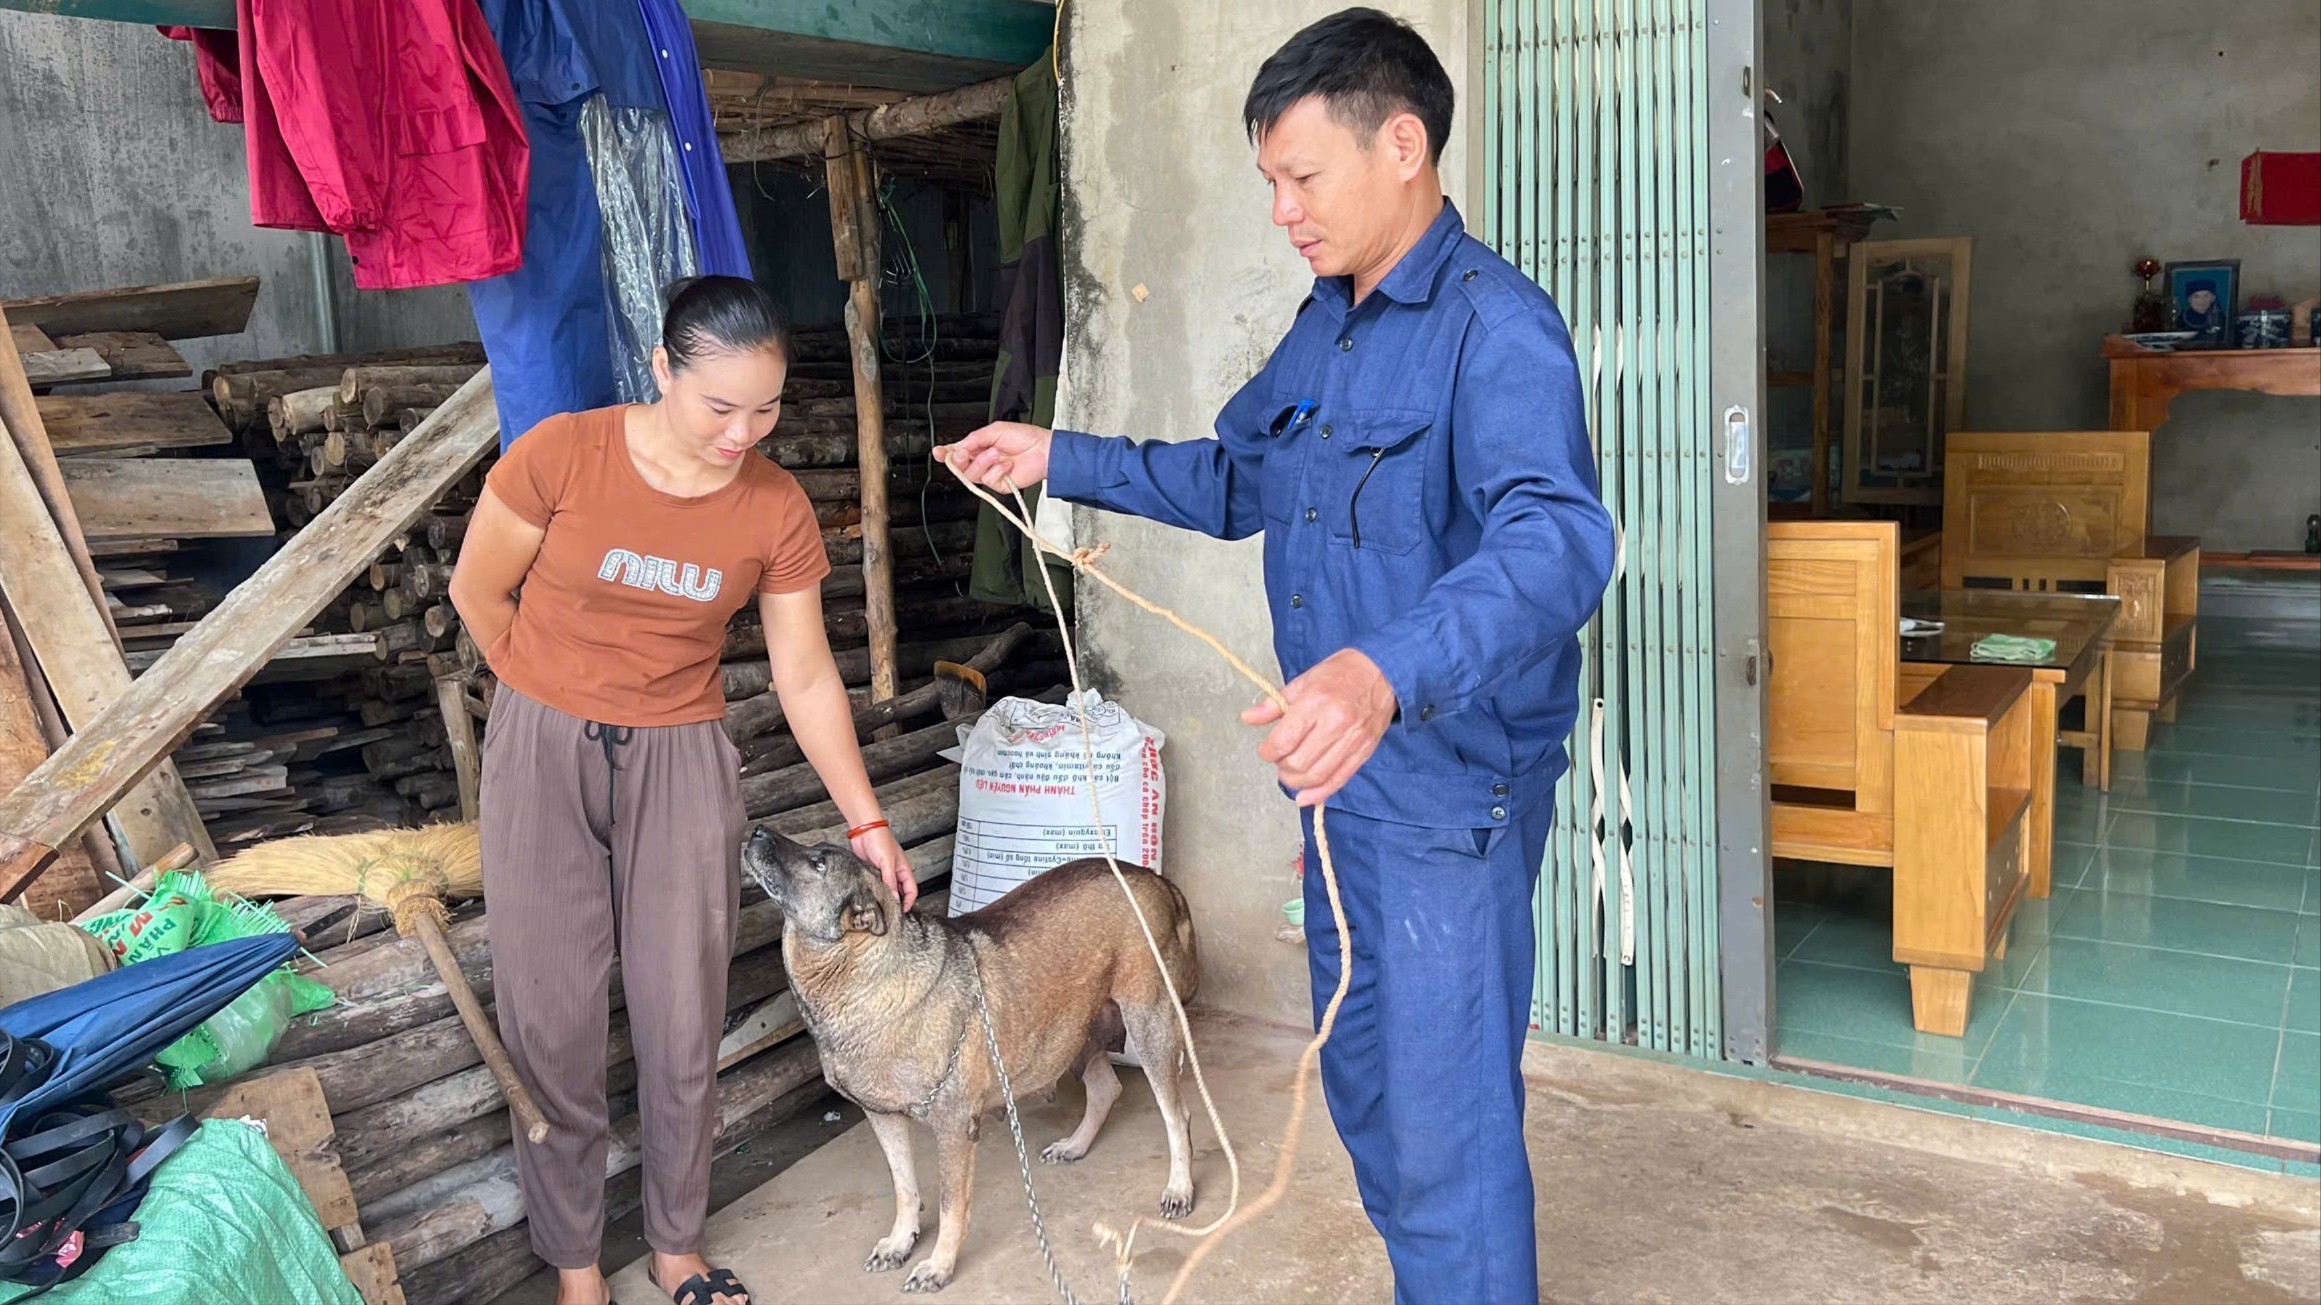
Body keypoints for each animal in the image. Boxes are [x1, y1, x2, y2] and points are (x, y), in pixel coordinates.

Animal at [742, 826, 1206, 1281]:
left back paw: (1179, 1187)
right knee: (1107, 1088)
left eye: (817, 863)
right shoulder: (883, 1117)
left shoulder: (952, 1124)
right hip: (1073, 1033)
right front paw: (901, 1241)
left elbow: (951, 1205)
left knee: (1177, 1115)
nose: (757, 830)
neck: (856, 974)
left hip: (1148, 1024)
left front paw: (940, 1264)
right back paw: (1075, 1145)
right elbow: (904, 1187)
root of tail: (1157, 880)